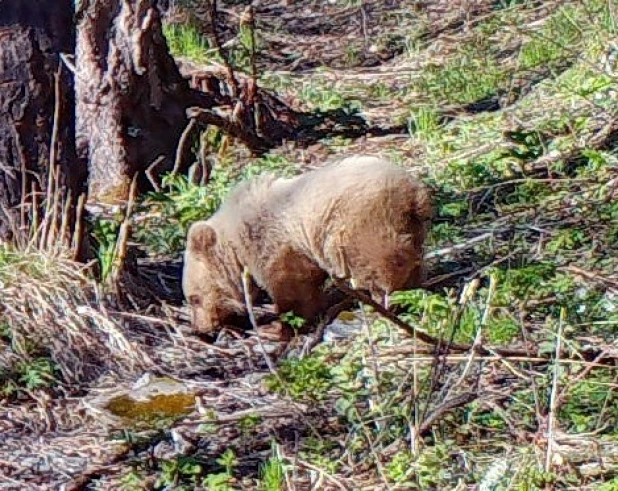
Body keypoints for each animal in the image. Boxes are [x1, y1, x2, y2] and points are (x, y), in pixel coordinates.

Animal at [183, 156, 430, 336]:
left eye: (194, 298)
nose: (200, 329)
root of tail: (416, 192)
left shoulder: (274, 241)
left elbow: (291, 286)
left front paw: (278, 327)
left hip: (363, 221)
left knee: (381, 259)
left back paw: (386, 303)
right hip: (411, 226)